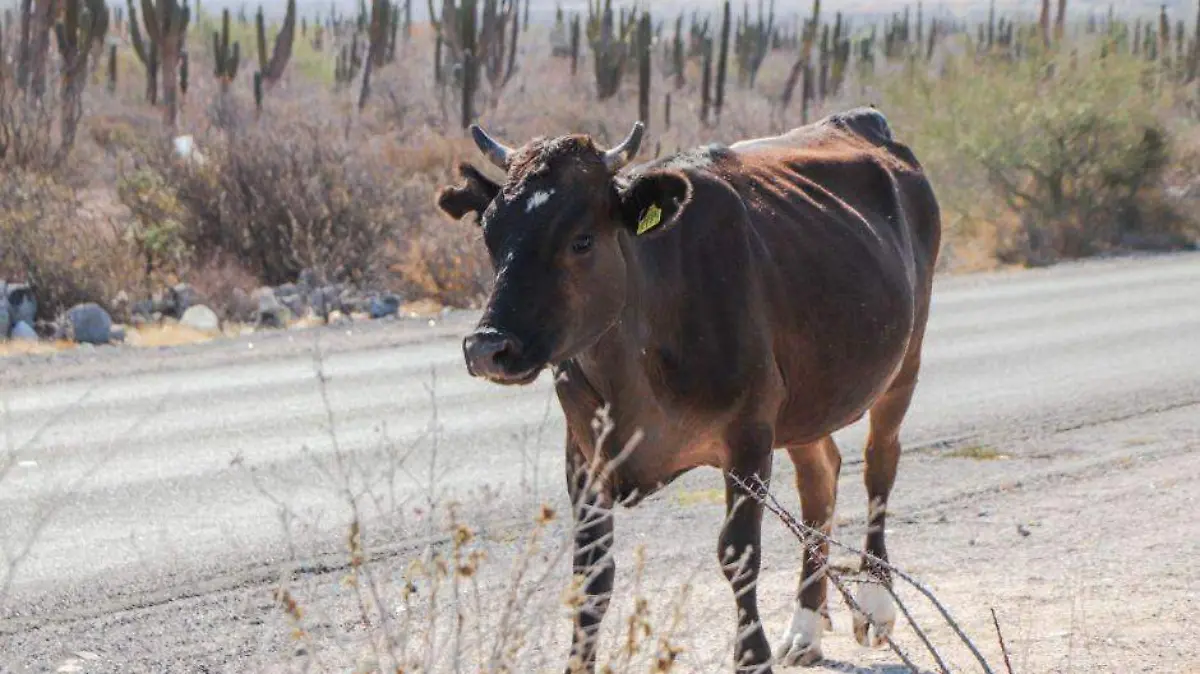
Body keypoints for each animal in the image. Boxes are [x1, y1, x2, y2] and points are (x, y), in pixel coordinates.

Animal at [436, 107, 940, 666]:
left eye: (581, 240)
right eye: (490, 236)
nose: (487, 346)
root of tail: (862, 120)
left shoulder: (749, 436)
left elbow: (738, 554)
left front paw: (752, 656)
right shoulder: (583, 455)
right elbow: (591, 577)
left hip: (905, 360)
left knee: (879, 464)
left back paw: (875, 601)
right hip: (806, 400)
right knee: (820, 480)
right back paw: (805, 629)